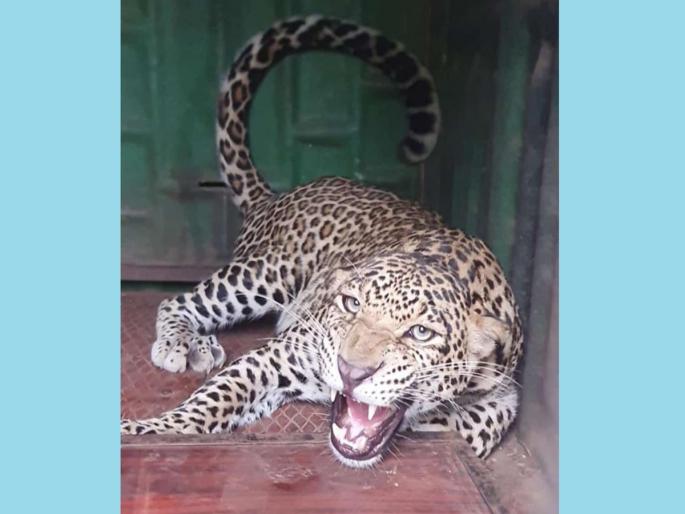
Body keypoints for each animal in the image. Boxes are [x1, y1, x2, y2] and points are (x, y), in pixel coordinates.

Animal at [121, 14, 523, 468]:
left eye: (420, 333)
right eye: (350, 305)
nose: (351, 371)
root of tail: (276, 195)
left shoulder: (501, 400)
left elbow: (468, 424)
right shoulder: (283, 353)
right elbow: (214, 400)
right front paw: (143, 433)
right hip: (269, 272)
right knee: (178, 301)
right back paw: (184, 343)